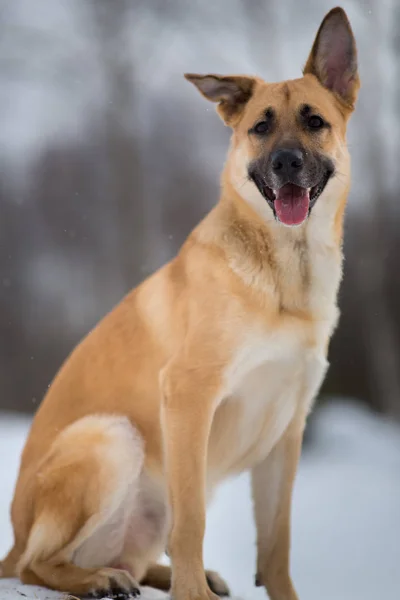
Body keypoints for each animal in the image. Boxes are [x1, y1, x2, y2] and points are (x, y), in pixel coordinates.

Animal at [1, 8, 360, 600]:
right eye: (260, 127)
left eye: (314, 121)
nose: (286, 163)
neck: (285, 277)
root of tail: (12, 538)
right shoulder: (190, 397)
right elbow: (191, 522)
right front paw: (191, 593)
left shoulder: (287, 431)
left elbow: (277, 544)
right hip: (111, 437)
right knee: (38, 563)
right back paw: (101, 579)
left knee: (137, 555)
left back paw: (163, 575)